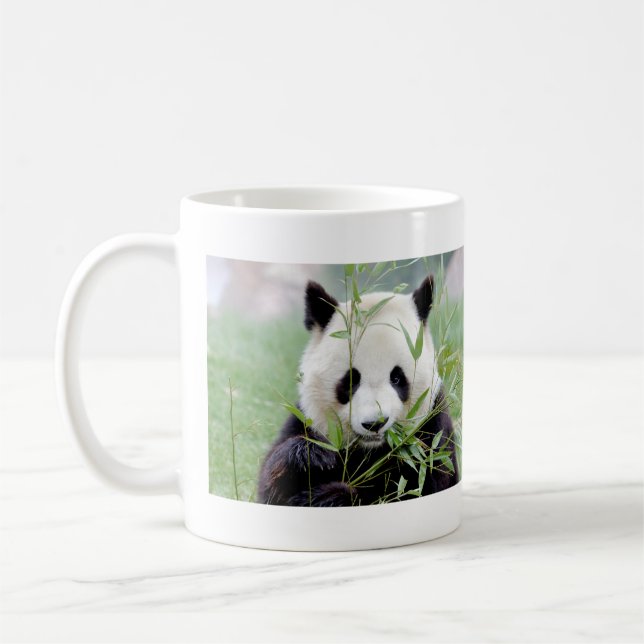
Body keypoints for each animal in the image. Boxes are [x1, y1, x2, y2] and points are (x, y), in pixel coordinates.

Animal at [257, 274, 459, 507]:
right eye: (351, 380)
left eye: (397, 378)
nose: (374, 424)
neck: (369, 450)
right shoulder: (306, 419)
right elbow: (272, 480)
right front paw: (312, 456)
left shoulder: (431, 433)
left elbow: (415, 487)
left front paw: (328, 497)